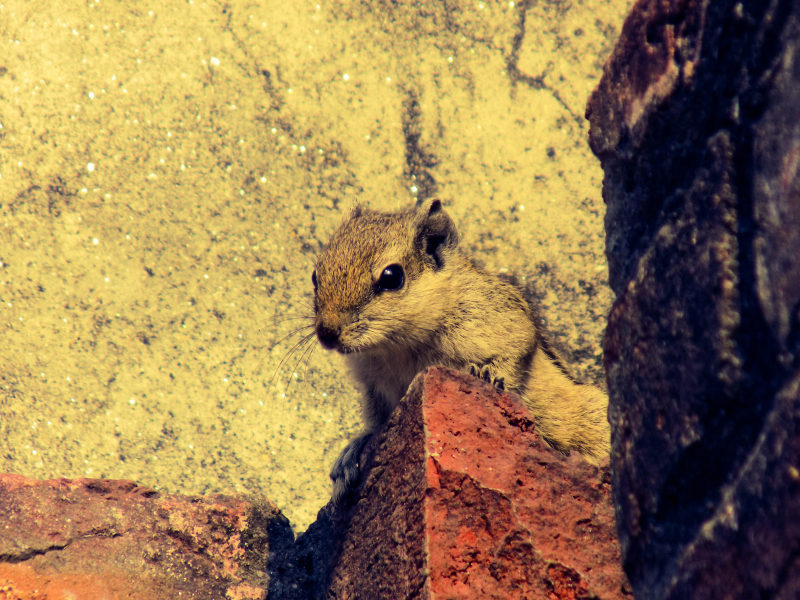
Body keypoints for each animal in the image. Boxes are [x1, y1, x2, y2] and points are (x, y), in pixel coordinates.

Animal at [312, 199, 612, 500]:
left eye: (392, 277)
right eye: (315, 275)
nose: (327, 333)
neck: (400, 346)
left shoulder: (508, 323)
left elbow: (515, 352)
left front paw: (486, 375)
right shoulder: (375, 389)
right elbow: (376, 426)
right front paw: (352, 453)